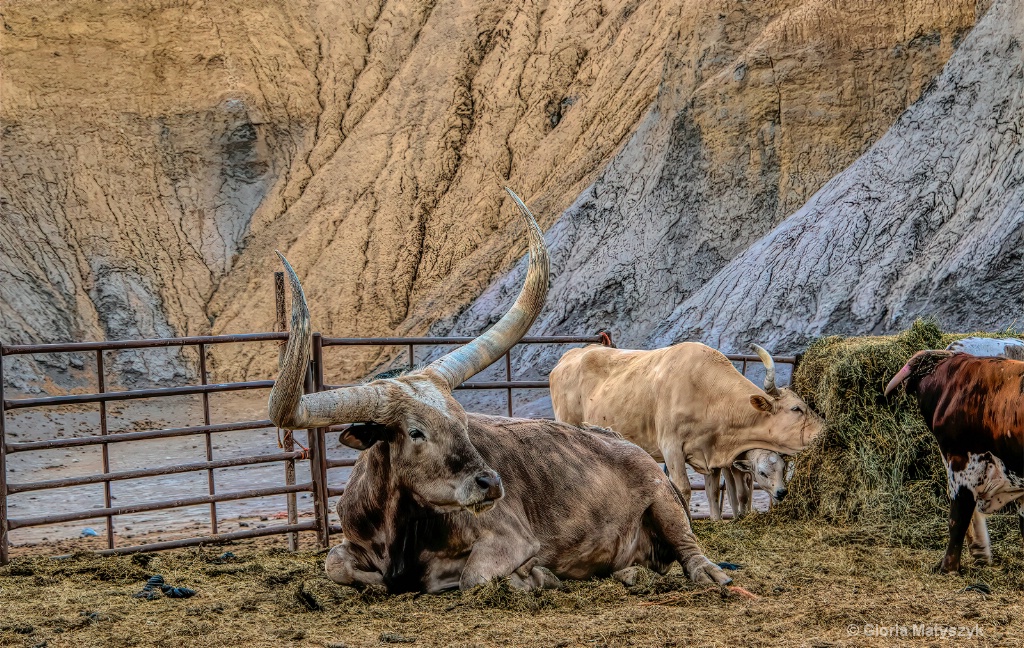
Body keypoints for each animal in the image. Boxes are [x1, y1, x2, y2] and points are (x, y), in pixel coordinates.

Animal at [268, 188, 733, 589]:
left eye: (463, 421)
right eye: (416, 432)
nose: (489, 483)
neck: (400, 535)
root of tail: (624, 444)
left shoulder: (510, 538)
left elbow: (473, 577)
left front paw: (535, 576)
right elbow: (335, 563)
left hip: (667, 501)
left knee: (690, 550)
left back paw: (709, 574)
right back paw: (629, 572)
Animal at [552, 341, 823, 517]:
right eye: (797, 408)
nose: (823, 429)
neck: (707, 391)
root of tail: (573, 354)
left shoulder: (711, 455)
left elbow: (713, 493)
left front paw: (716, 521)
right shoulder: (671, 447)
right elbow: (682, 488)